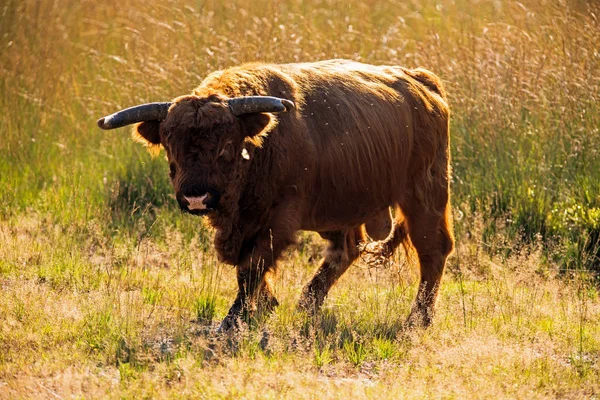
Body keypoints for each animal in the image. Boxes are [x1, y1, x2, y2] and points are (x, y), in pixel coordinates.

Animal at [99, 58, 454, 328]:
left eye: (226, 146)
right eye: (171, 147)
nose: (196, 197)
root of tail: (421, 81)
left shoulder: (279, 220)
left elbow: (253, 266)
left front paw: (234, 319)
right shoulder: (241, 225)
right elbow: (247, 268)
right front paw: (265, 305)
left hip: (425, 193)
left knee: (433, 249)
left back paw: (418, 319)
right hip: (344, 207)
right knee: (346, 250)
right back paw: (307, 305)